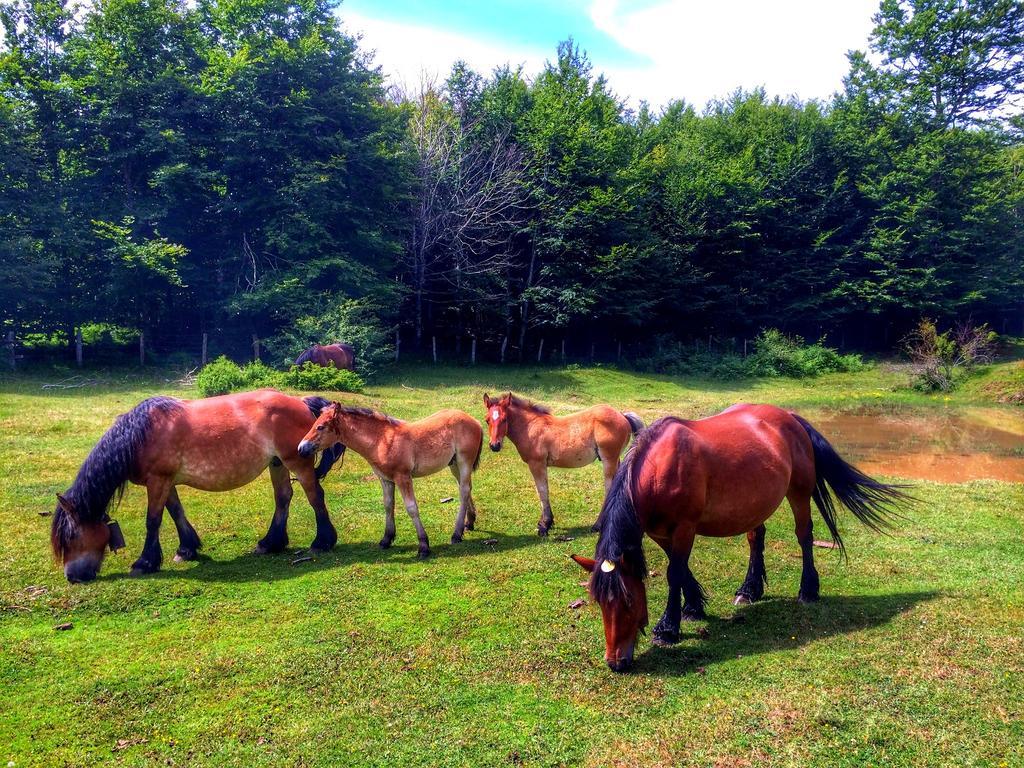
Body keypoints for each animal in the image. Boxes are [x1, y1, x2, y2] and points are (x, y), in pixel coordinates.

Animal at [49, 391, 346, 581]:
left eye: (72, 536)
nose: (72, 577)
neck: (139, 436)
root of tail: (300, 401)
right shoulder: (166, 482)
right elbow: (176, 512)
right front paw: (186, 549)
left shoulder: (158, 480)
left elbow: (153, 520)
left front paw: (145, 563)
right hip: (277, 463)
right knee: (283, 497)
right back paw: (270, 543)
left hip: (296, 461)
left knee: (315, 496)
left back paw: (322, 541)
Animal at [299, 403, 483, 561]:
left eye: (320, 427)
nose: (301, 448)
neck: (382, 440)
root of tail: (474, 420)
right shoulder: (385, 479)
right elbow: (388, 505)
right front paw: (386, 539)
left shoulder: (403, 477)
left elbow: (411, 508)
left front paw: (423, 546)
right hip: (454, 464)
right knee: (466, 488)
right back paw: (469, 522)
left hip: (464, 461)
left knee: (464, 491)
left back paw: (456, 534)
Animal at [569, 405, 913, 671]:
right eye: (599, 602)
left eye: (628, 601)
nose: (616, 663)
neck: (659, 468)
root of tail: (789, 417)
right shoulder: (659, 533)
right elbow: (680, 570)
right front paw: (693, 607)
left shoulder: (684, 528)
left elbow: (674, 573)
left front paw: (668, 628)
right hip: (756, 504)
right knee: (755, 538)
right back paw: (750, 589)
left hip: (799, 493)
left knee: (804, 536)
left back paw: (808, 590)